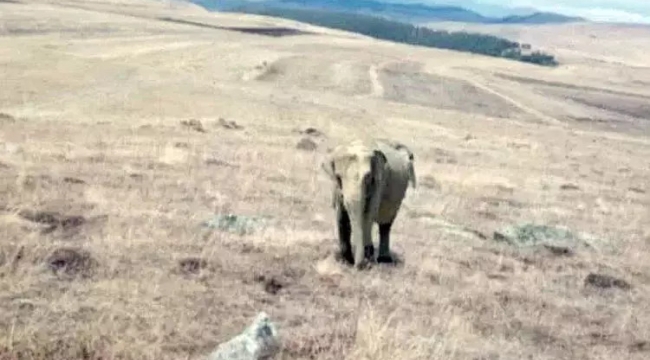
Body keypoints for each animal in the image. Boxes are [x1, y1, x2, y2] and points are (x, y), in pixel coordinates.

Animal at [318, 139, 416, 268]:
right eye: (338, 177)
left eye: (368, 177)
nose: (357, 266)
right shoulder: (336, 187)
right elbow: (341, 216)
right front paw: (345, 261)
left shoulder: (379, 180)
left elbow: (369, 212)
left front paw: (367, 258)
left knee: (386, 224)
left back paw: (384, 260)